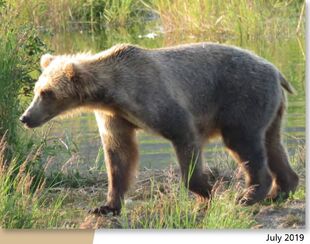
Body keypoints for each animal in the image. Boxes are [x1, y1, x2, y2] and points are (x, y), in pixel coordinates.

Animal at [20, 42, 300, 215]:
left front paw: (205, 191)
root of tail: (275, 70)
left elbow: (183, 134)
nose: (25, 117)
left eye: (46, 93)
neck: (112, 93)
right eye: (37, 90)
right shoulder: (115, 116)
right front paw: (106, 205)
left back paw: (249, 195)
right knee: (272, 143)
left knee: (244, 142)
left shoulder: (155, 98)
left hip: (242, 98)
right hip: (270, 108)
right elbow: (119, 154)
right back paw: (281, 189)